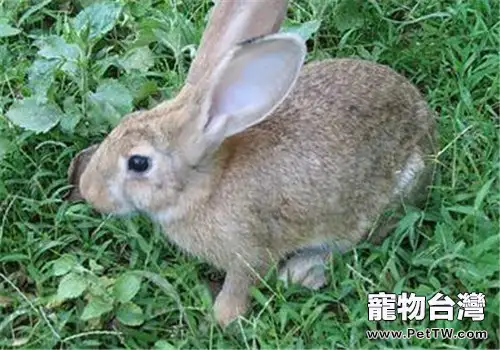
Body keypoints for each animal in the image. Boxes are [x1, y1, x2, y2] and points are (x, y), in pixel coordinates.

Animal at [65, 3, 434, 328]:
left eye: (139, 163)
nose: (89, 191)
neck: (208, 188)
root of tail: (428, 125)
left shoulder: (250, 253)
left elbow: (241, 284)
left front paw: (222, 320)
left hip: (387, 198)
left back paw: (302, 271)